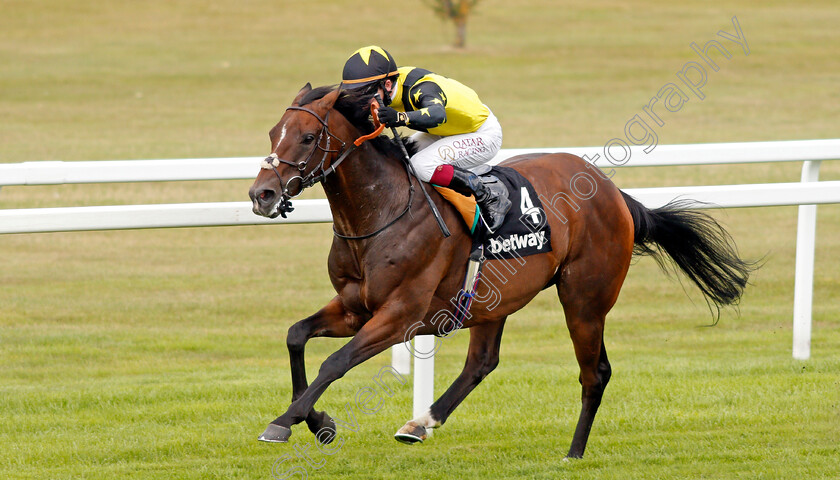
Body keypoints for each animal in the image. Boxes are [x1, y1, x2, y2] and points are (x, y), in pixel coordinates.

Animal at [246, 84, 752, 460]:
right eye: (272, 132)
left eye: (307, 137)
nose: (261, 194)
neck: (382, 212)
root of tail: (612, 190)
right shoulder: (355, 307)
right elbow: (296, 336)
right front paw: (317, 422)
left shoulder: (399, 315)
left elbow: (334, 362)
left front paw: (284, 422)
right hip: (494, 298)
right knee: (482, 361)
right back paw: (421, 423)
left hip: (584, 299)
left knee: (595, 373)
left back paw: (573, 452)